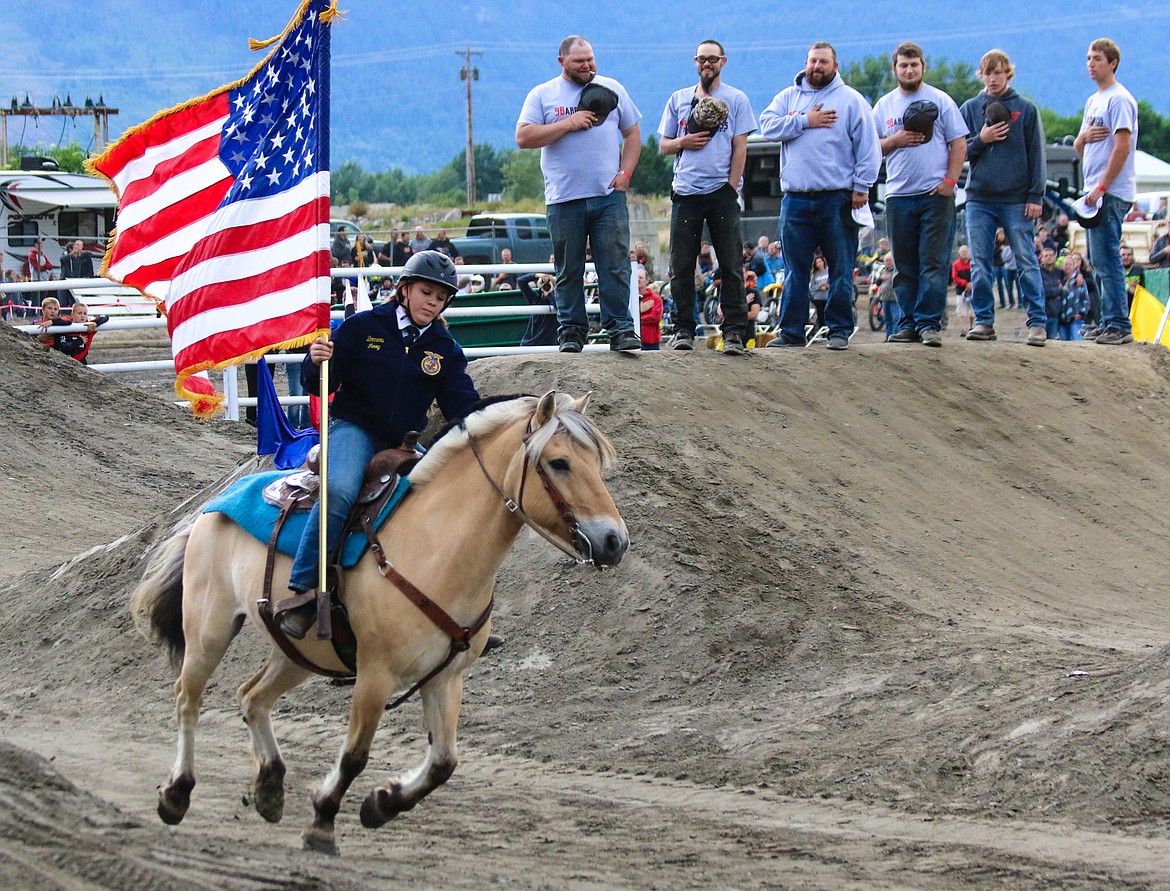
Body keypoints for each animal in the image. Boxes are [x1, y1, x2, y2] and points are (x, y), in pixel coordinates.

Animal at [131, 392, 627, 851]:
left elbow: (444, 762)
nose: (614, 541)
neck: (437, 547)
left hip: (299, 654)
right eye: (559, 463)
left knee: (251, 696)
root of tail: (214, 505)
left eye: (596, 462)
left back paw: (269, 787)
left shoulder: (445, 678)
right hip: (208, 631)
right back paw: (177, 794)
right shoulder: (375, 674)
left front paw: (382, 802)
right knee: (188, 700)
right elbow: (355, 755)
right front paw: (323, 820)